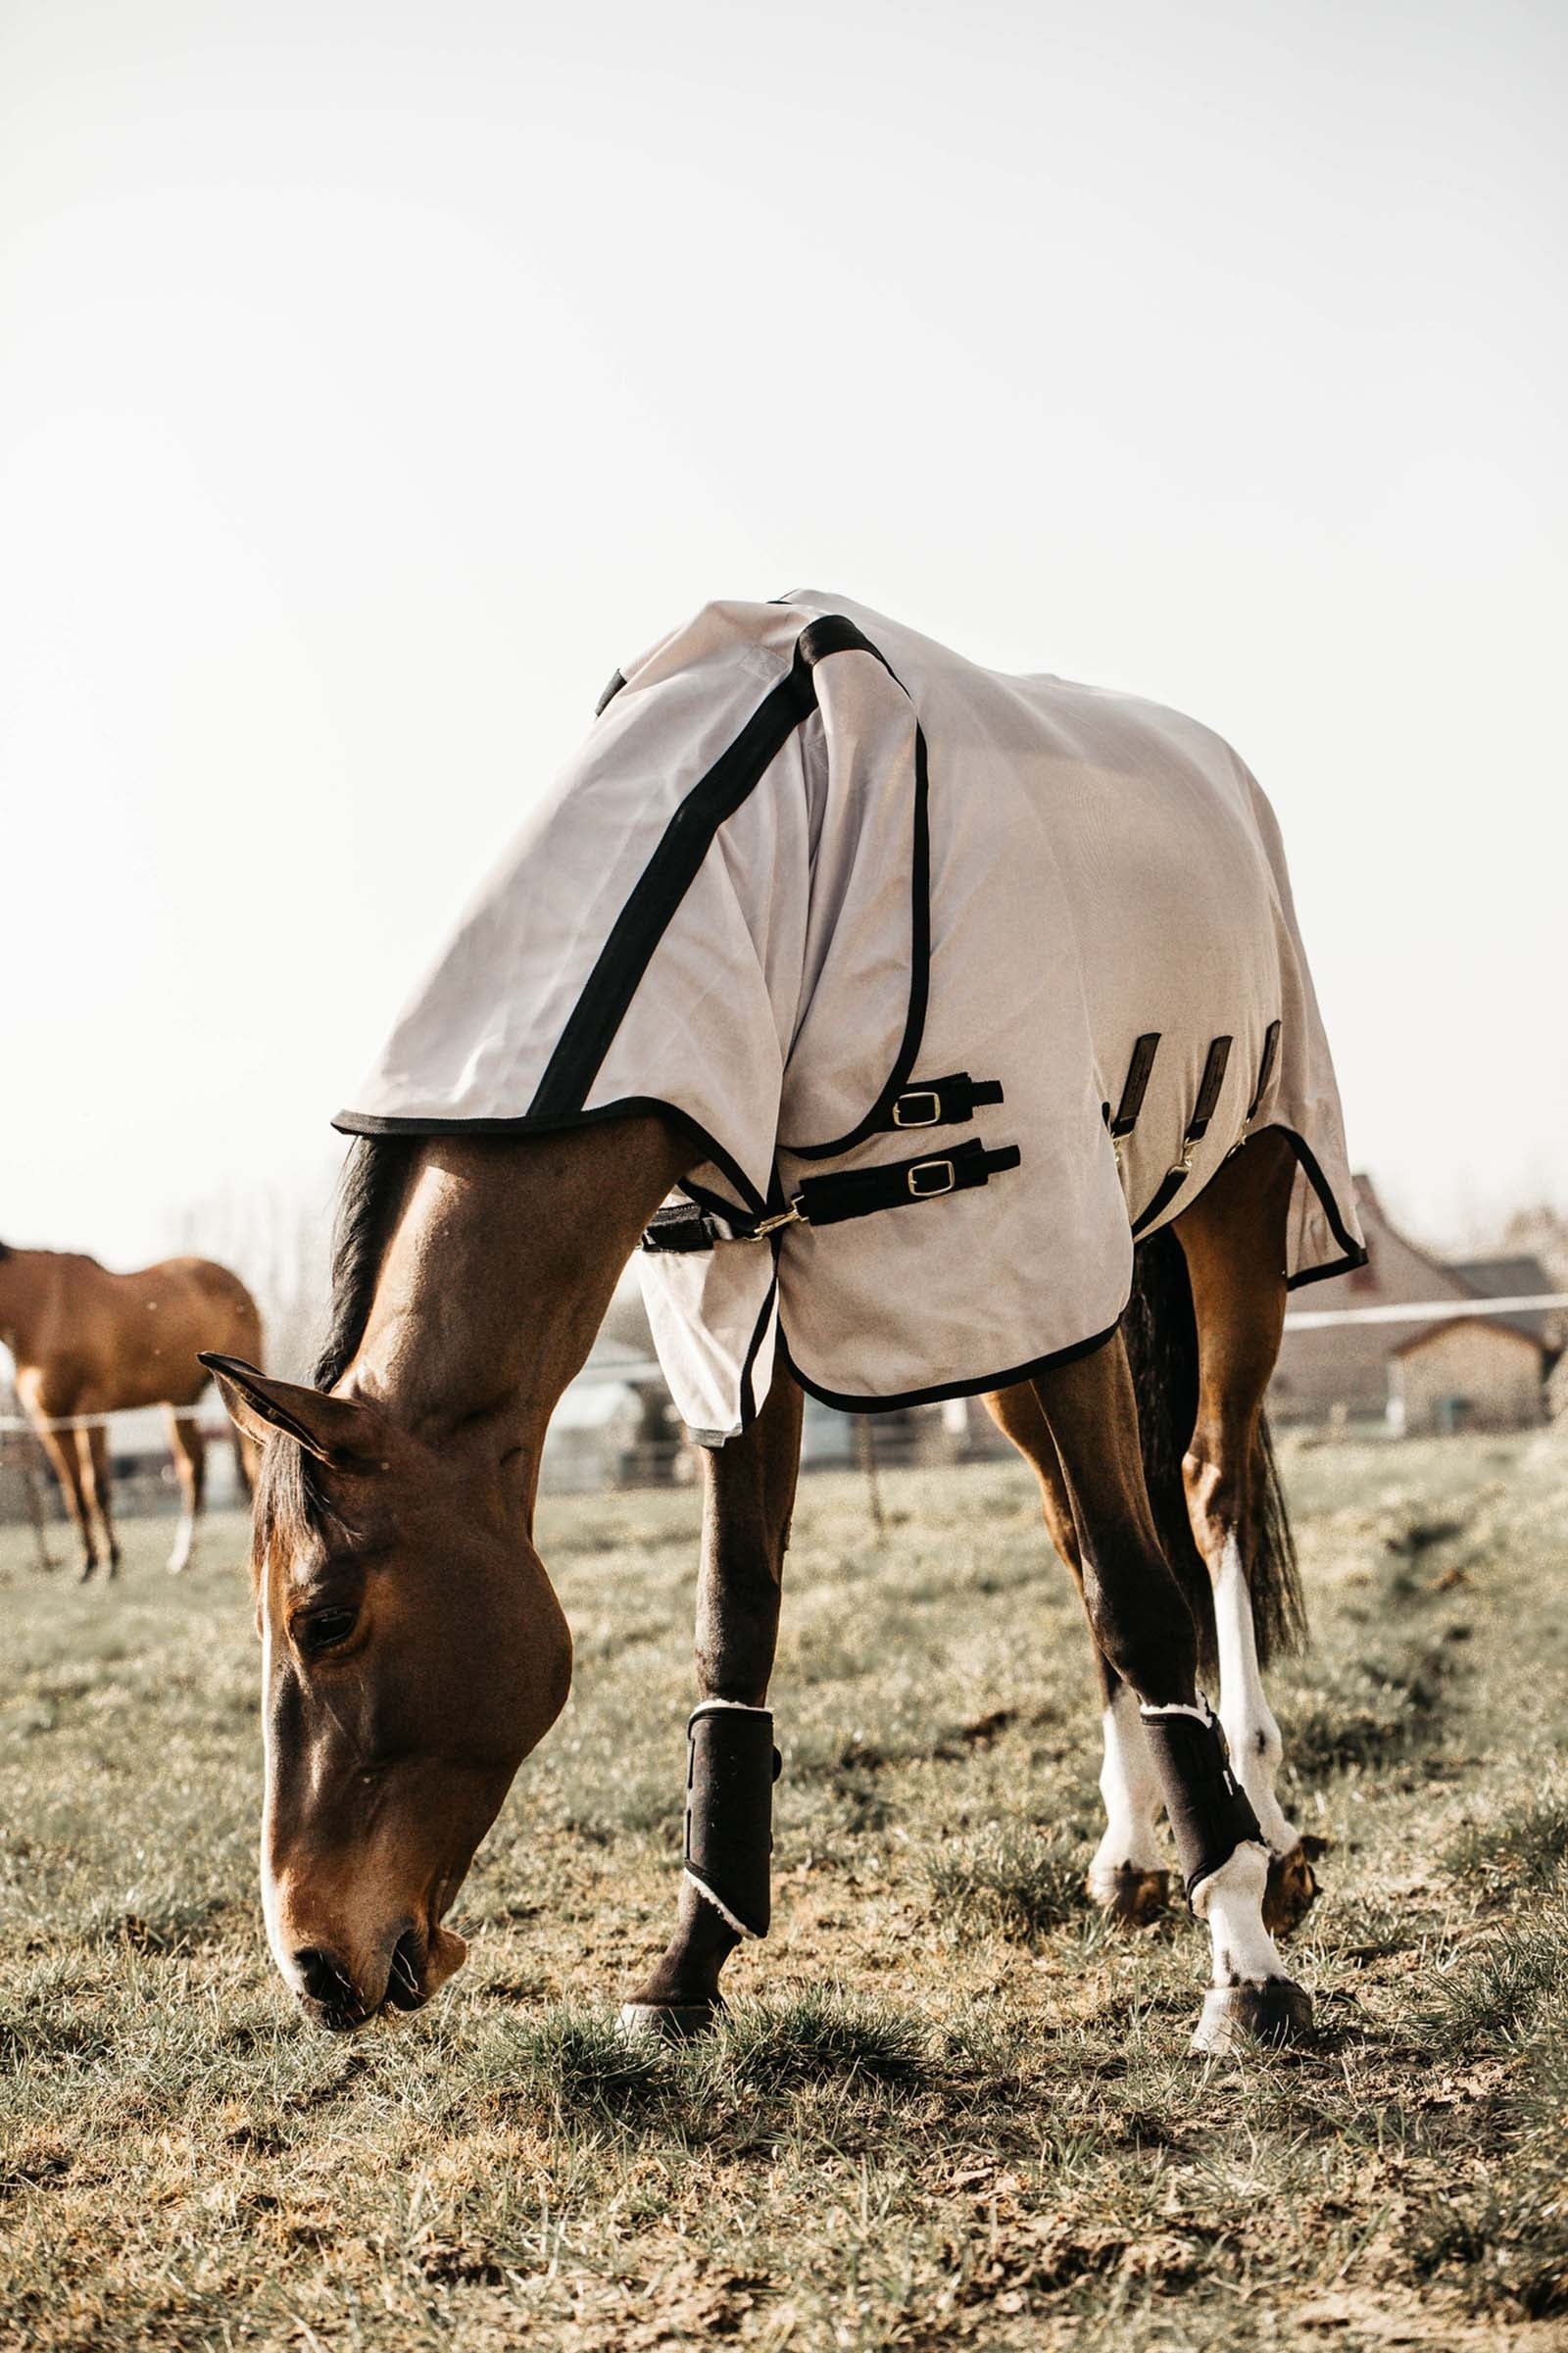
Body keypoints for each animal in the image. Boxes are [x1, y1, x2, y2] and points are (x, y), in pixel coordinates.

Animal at [0, 1243, 263, 1578]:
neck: (43, 1308)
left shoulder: (91, 1407)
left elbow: (96, 1485)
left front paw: (111, 1561)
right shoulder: (52, 1420)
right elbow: (73, 1492)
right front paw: (87, 1563)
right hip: (179, 1401)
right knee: (193, 1470)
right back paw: (182, 1557)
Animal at [206, 591, 1365, 2057]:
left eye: (326, 1617)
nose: (310, 1961)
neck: (754, 862)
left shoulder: (1045, 1250)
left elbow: (1143, 1600)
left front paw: (1245, 1968)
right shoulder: (740, 1319)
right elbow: (736, 1626)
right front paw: (687, 1967)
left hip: (1227, 1210)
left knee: (1203, 1496)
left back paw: (1262, 1829)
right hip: (1006, 1332)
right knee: (1081, 1530)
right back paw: (1132, 1851)